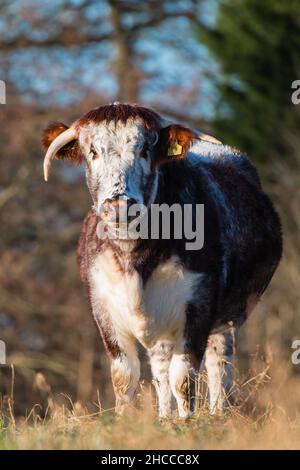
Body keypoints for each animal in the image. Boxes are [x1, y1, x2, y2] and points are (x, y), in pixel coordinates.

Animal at [41, 103, 282, 418]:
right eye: (92, 151)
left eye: (145, 149)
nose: (119, 204)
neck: (135, 257)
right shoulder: (104, 309)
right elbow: (124, 376)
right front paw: (125, 421)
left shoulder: (198, 306)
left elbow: (184, 376)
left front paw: (187, 421)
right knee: (161, 368)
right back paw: (165, 417)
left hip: (227, 315)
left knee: (218, 363)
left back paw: (217, 414)